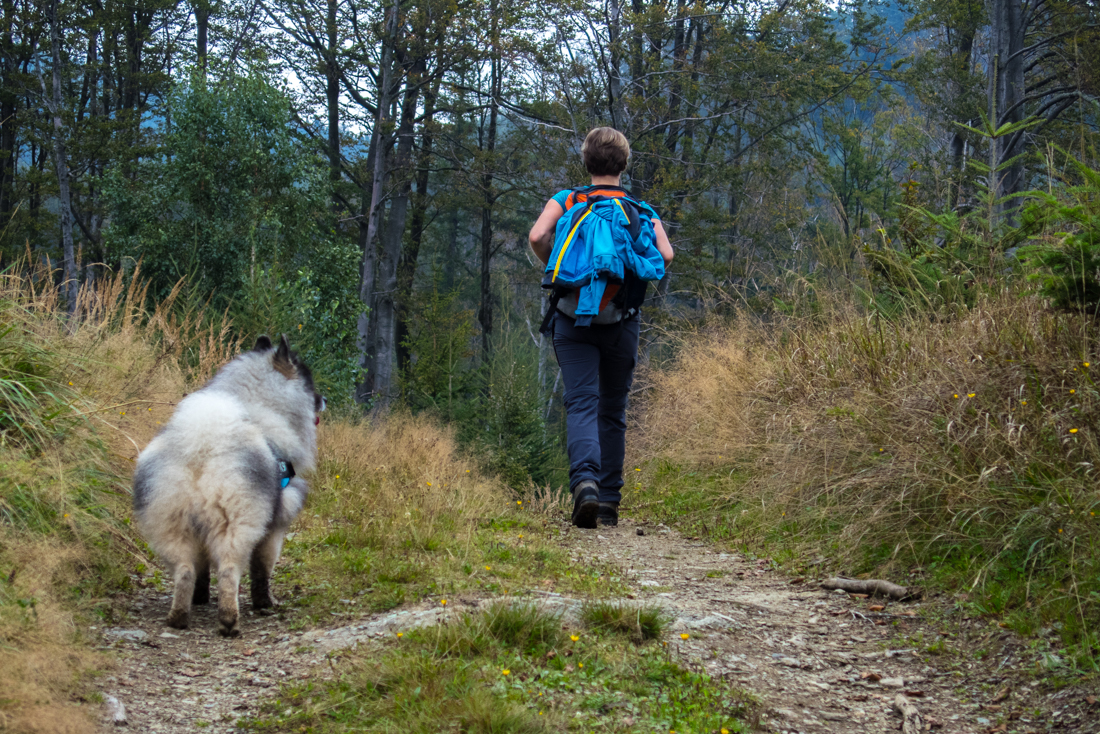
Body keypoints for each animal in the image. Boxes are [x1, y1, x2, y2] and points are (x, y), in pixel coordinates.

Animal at [133, 336, 321, 633]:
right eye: (309, 381)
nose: (322, 401)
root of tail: (202, 448)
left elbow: (202, 569)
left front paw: (200, 597)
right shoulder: (273, 527)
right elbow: (262, 570)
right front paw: (265, 603)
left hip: (171, 525)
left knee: (185, 570)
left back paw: (179, 616)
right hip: (235, 525)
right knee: (229, 571)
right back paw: (229, 620)